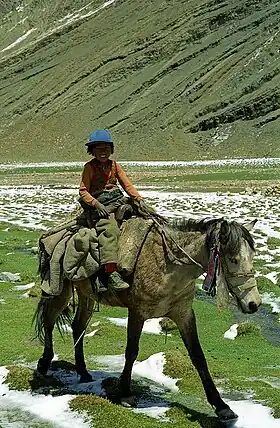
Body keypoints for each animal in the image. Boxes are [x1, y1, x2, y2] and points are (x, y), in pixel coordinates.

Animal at [34, 217, 260, 422]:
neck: (170, 268)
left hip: (86, 294)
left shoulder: (184, 314)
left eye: (252, 257)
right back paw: (43, 364)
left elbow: (198, 357)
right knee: (49, 319)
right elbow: (131, 352)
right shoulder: (138, 312)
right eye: (233, 259)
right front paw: (125, 394)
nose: (254, 304)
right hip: (61, 290)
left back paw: (83, 373)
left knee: (78, 326)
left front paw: (221, 406)